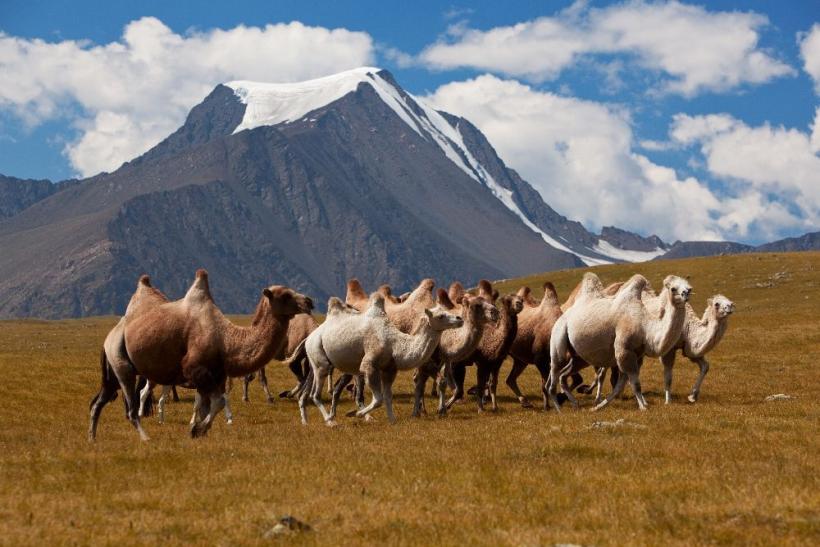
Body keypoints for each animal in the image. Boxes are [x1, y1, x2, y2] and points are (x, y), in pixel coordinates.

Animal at [89, 270, 312, 440]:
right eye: (285, 295)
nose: (309, 301)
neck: (227, 340)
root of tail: (110, 336)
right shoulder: (196, 371)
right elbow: (218, 402)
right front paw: (198, 428)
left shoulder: (217, 376)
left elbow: (212, 404)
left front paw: (199, 430)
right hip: (122, 365)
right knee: (130, 407)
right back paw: (145, 438)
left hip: (115, 368)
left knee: (99, 401)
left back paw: (92, 438)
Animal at [294, 294, 462, 426]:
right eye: (440, 316)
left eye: (447, 311)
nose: (459, 318)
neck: (394, 344)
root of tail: (309, 337)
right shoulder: (369, 365)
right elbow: (378, 399)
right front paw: (356, 414)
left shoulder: (389, 369)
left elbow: (387, 396)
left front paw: (392, 420)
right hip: (319, 358)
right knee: (315, 394)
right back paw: (330, 421)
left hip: (316, 362)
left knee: (308, 391)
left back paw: (305, 422)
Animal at [552, 272, 692, 414]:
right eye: (673, 288)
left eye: (689, 287)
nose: (685, 293)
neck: (645, 326)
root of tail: (564, 314)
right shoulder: (624, 350)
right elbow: (635, 384)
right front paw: (643, 407)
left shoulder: (636, 355)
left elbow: (620, 385)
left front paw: (597, 407)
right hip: (558, 337)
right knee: (554, 374)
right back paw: (559, 409)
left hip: (580, 357)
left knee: (563, 375)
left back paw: (575, 404)